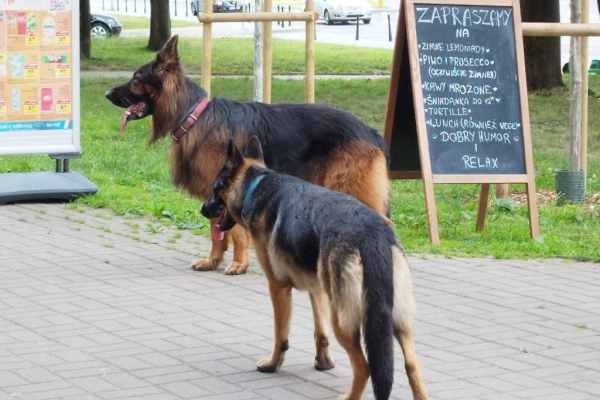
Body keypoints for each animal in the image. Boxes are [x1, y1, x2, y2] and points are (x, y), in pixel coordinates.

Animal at [105, 36, 392, 276]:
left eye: (136, 79)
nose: (107, 94)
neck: (192, 116)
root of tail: (370, 131)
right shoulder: (214, 196)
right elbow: (216, 233)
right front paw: (213, 260)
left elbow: (236, 232)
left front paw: (238, 264)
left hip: (349, 188)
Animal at [200, 136, 426, 398]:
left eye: (214, 189)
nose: (202, 209)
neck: (255, 186)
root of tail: (372, 234)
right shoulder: (317, 289)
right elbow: (320, 331)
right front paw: (323, 362)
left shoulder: (278, 287)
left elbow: (280, 335)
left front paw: (273, 364)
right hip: (397, 321)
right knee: (411, 365)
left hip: (344, 320)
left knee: (364, 366)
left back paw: (348, 396)